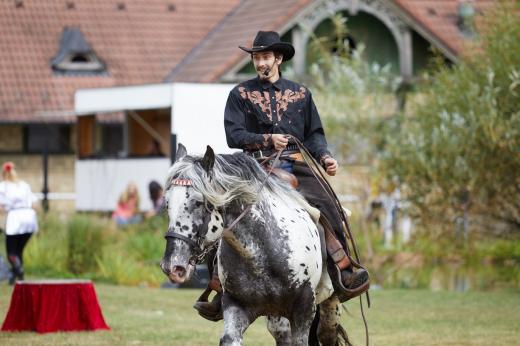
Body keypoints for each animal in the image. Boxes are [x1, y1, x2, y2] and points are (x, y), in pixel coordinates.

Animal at [161, 144, 350, 346]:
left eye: (197, 202)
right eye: (167, 204)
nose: (172, 266)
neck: (262, 254)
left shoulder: (304, 307)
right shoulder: (236, 306)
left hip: (329, 307)